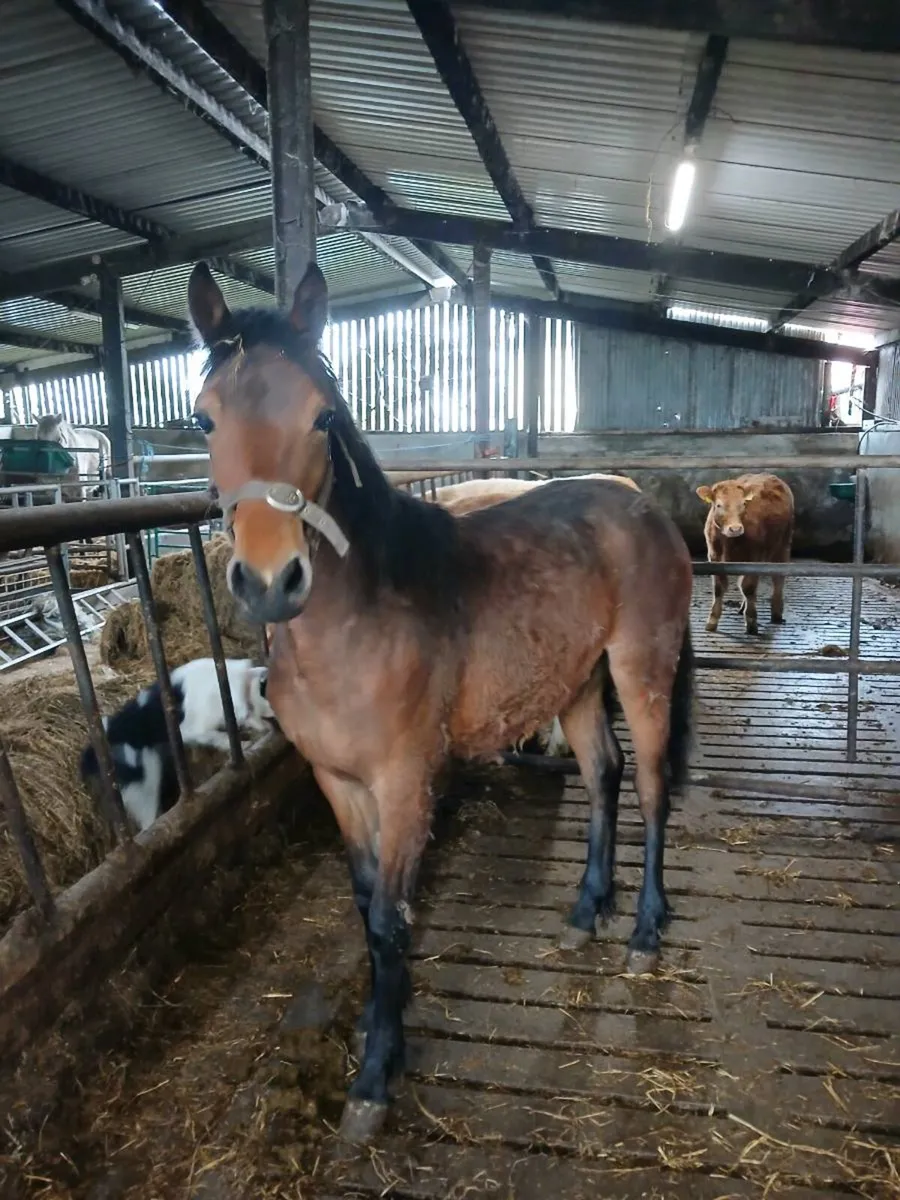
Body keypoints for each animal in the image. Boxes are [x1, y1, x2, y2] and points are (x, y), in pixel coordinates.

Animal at [187, 259, 695, 1145]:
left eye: (323, 415)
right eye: (204, 417)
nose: (270, 581)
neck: (358, 622)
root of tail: (641, 503)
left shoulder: (403, 781)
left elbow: (393, 919)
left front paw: (373, 1080)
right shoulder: (339, 785)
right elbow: (366, 910)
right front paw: (375, 1030)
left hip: (640, 669)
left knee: (653, 787)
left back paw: (642, 932)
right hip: (576, 680)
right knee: (603, 773)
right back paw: (584, 914)